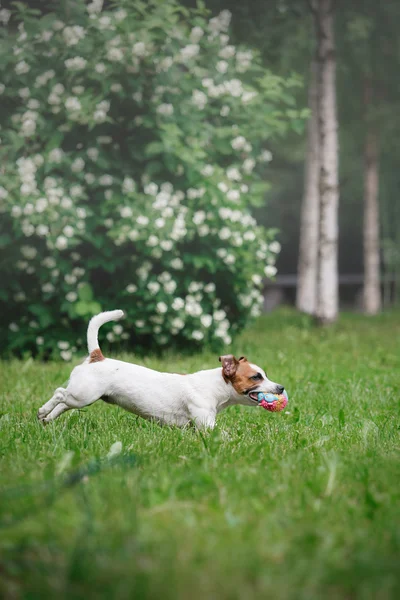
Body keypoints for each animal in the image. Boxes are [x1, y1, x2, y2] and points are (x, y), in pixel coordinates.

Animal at [37, 310, 286, 426]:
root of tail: (97, 356)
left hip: (82, 396)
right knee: (59, 394)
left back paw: (48, 419)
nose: (281, 388)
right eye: (256, 377)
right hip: (84, 395)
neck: (216, 386)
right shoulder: (206, 423)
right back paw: (42, 411)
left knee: (64, 403)